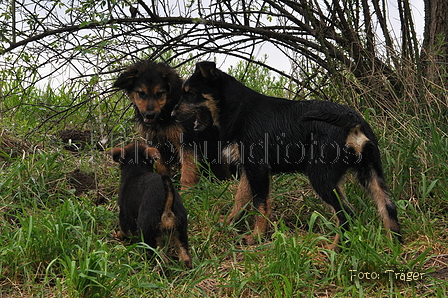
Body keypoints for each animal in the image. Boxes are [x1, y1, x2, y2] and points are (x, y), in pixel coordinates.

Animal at [114, 60, 231, 189]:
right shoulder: (156, 144)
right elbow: (162, 168)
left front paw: (187, 191)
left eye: (159, 93)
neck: (165, 113)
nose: (150, 115)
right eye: (141, 93)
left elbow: (188, 171)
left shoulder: (187, 141)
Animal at [172, 61, 402, 249]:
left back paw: (334, 249)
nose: (172, 114)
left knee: (346, 214)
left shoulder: (257, 168)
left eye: (190, 93)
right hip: (371, 172)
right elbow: (241, 199)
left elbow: (260, 204)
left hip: (321, 177)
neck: (237, 109)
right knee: (387, 207)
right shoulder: (249, 170)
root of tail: (352, 119)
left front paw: (256, 237)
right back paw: (393, 247)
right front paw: (228, 224)